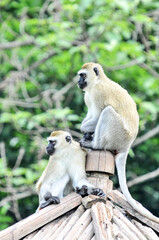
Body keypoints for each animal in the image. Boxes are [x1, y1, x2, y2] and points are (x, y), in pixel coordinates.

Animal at [77, 62, 159, 223]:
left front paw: (84, 130)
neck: (96, 82)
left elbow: (97, 116)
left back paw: (94, 144)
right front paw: (85, 132)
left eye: (82, 75)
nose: (78, 81)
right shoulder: (88, 97)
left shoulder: (99, 93)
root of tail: (127, 146)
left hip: (118, 134)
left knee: (107, 112)